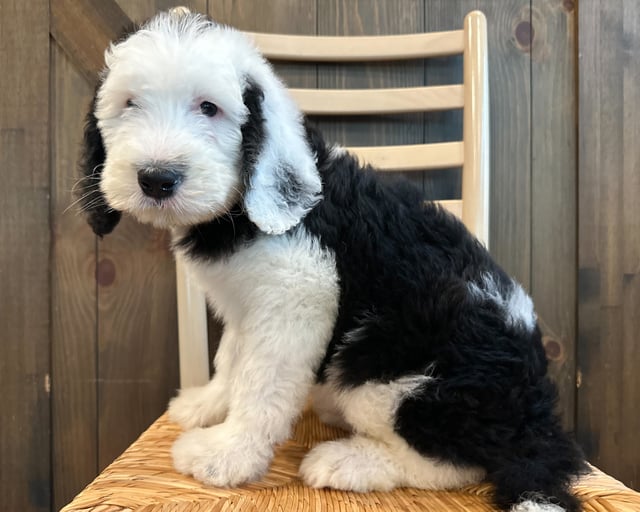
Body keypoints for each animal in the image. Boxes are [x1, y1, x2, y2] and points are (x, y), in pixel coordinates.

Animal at [80, 9, 592, 512]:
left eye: (209, 107)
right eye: (129, 104)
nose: (157, 178)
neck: (240, 209)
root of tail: (538, 416)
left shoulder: (298, 295)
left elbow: (261, 383)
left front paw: (227, 454)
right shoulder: (247, 306)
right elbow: (231, 359)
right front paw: (208, 405)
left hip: (388, 366)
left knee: (453, 463)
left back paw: (349, 462)